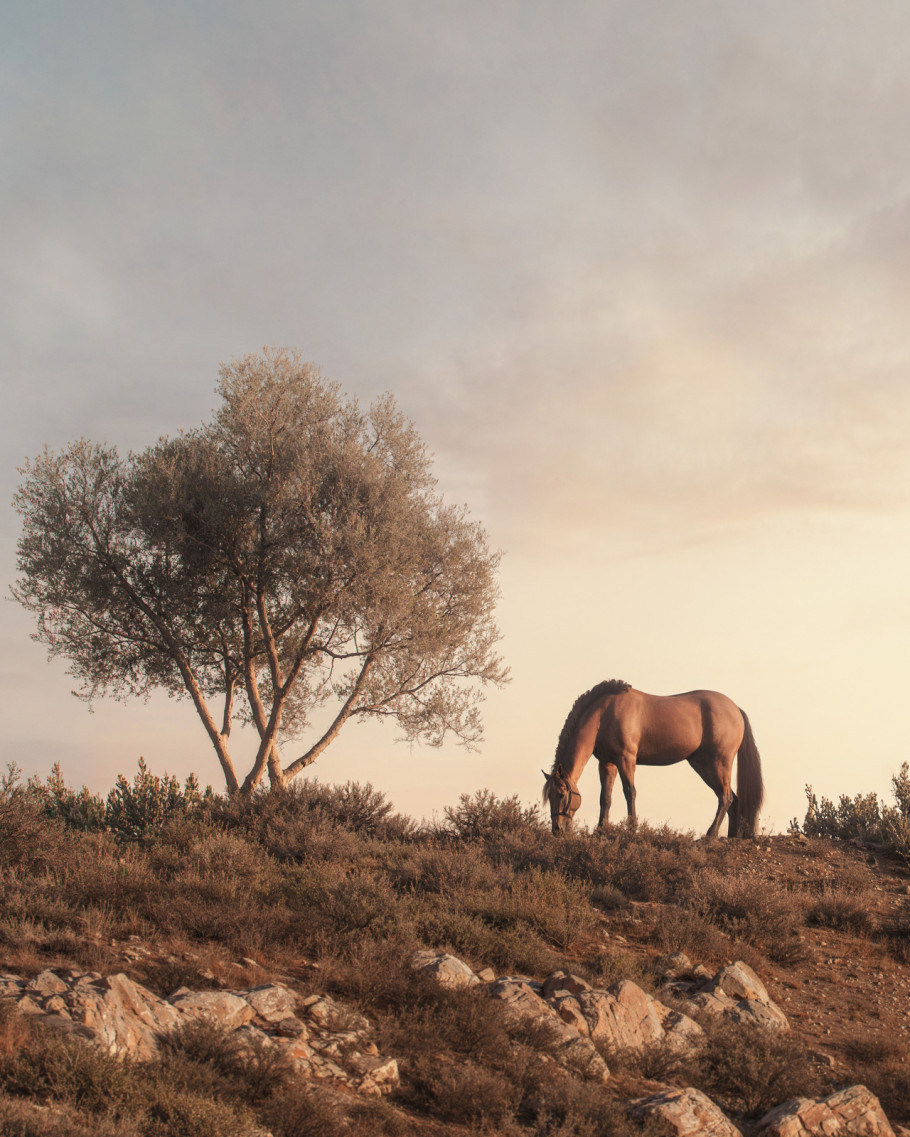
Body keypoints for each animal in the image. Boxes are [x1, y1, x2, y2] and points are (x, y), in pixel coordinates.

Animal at [542, 680, 763, 838]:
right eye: (549, 796)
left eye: (561, 794)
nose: (557, 830)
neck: (605, 714)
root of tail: (736, 709)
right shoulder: (607, 763)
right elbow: (605, 797)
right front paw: (601, 830)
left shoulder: (626, 759)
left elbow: (629, 792)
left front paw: (632, 829)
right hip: (702, 764)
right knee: (732, 799)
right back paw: (730, 837)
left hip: (718, 763)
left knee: (725, 797)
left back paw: (710, 835)